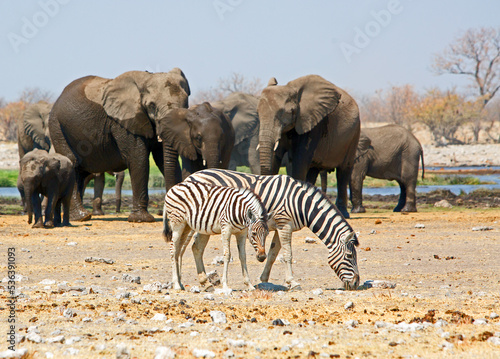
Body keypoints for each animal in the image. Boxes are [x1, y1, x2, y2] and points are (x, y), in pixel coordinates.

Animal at [184, 168, 360, 290]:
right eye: (350, 256)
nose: (357, 283)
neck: (301, 205)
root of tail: (192, 175)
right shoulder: (284, 225)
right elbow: (288, 255)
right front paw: (293, 282)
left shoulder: (281, 227)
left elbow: (273, 254)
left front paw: (264, 279)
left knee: (196, 248)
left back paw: (205, 283)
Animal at [258, 74, 360, 218]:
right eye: (258, 113)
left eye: (285, 112)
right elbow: (274, 158)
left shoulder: (312, 122)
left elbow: (299, 161)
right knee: (313, 171)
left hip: (354, 133)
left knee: (343, 171)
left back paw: (343, 213)